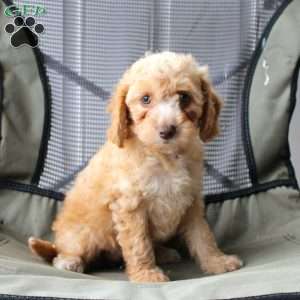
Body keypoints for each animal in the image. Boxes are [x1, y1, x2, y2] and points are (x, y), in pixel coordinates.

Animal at [29, 50, 243, 282]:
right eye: (145, 99)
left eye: (184, 97)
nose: (167, 131)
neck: (164, 156)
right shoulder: (131, 205)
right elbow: (139, 243)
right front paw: (147, 274)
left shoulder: (192, 200)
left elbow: (203, 235)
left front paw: (217, 261)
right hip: (83, 233)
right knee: (65, 250)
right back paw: (69, 261)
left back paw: (164, 253)